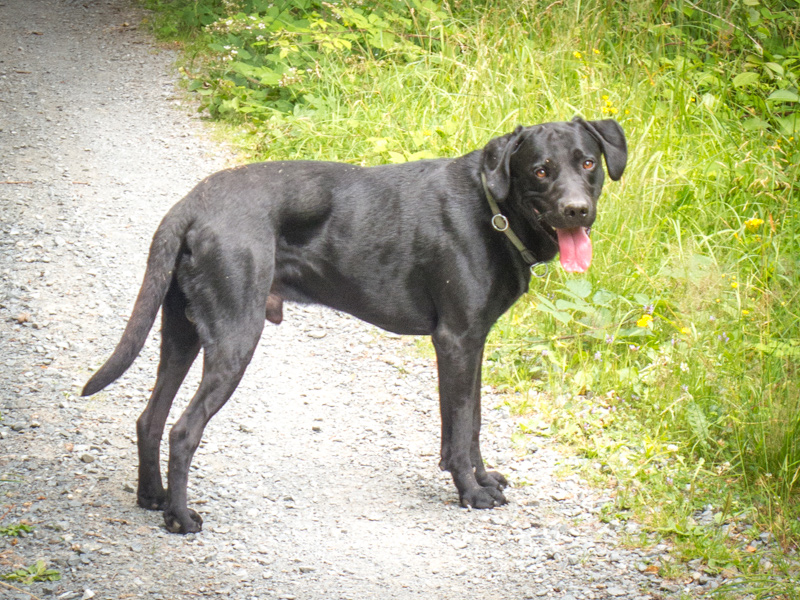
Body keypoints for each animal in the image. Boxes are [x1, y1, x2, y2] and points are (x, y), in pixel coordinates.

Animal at [84, 118, 628, 536]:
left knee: (150, 418)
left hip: (183, 334)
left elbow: (471, 424)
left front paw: (483, 479)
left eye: (587, 163)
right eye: (540, 170)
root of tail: (189, 206)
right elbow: (459, 430)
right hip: (235, 339)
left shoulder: (474, 343)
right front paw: (471, 493)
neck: (491, 209)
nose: (577, 210)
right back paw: (181, 518)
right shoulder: (456, 341)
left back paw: (152, 498)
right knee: (182, 431)